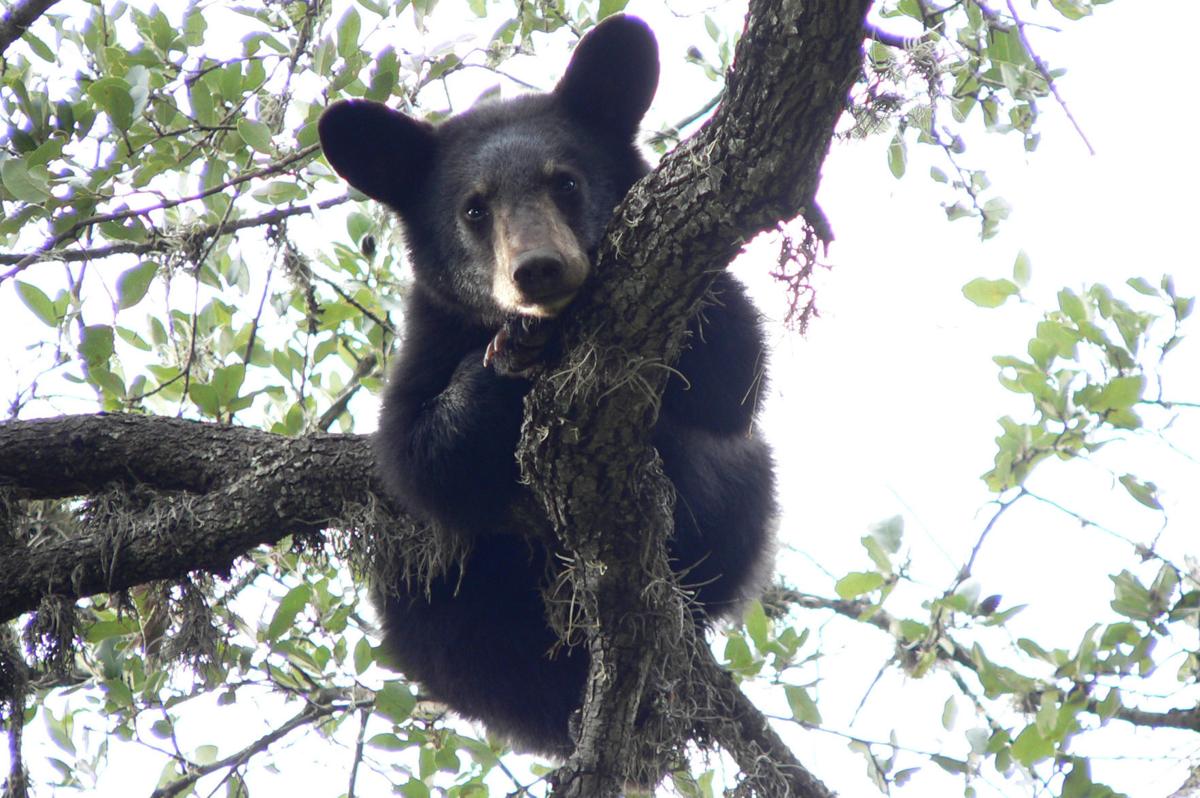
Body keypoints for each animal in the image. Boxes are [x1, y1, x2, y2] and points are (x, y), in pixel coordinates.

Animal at [317, 14, 774, 758]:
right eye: (474, 210)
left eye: (565, 183)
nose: (538, 269)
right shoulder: (426, 341)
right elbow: (417, 460)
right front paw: (499, 367)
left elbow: (735, 377)